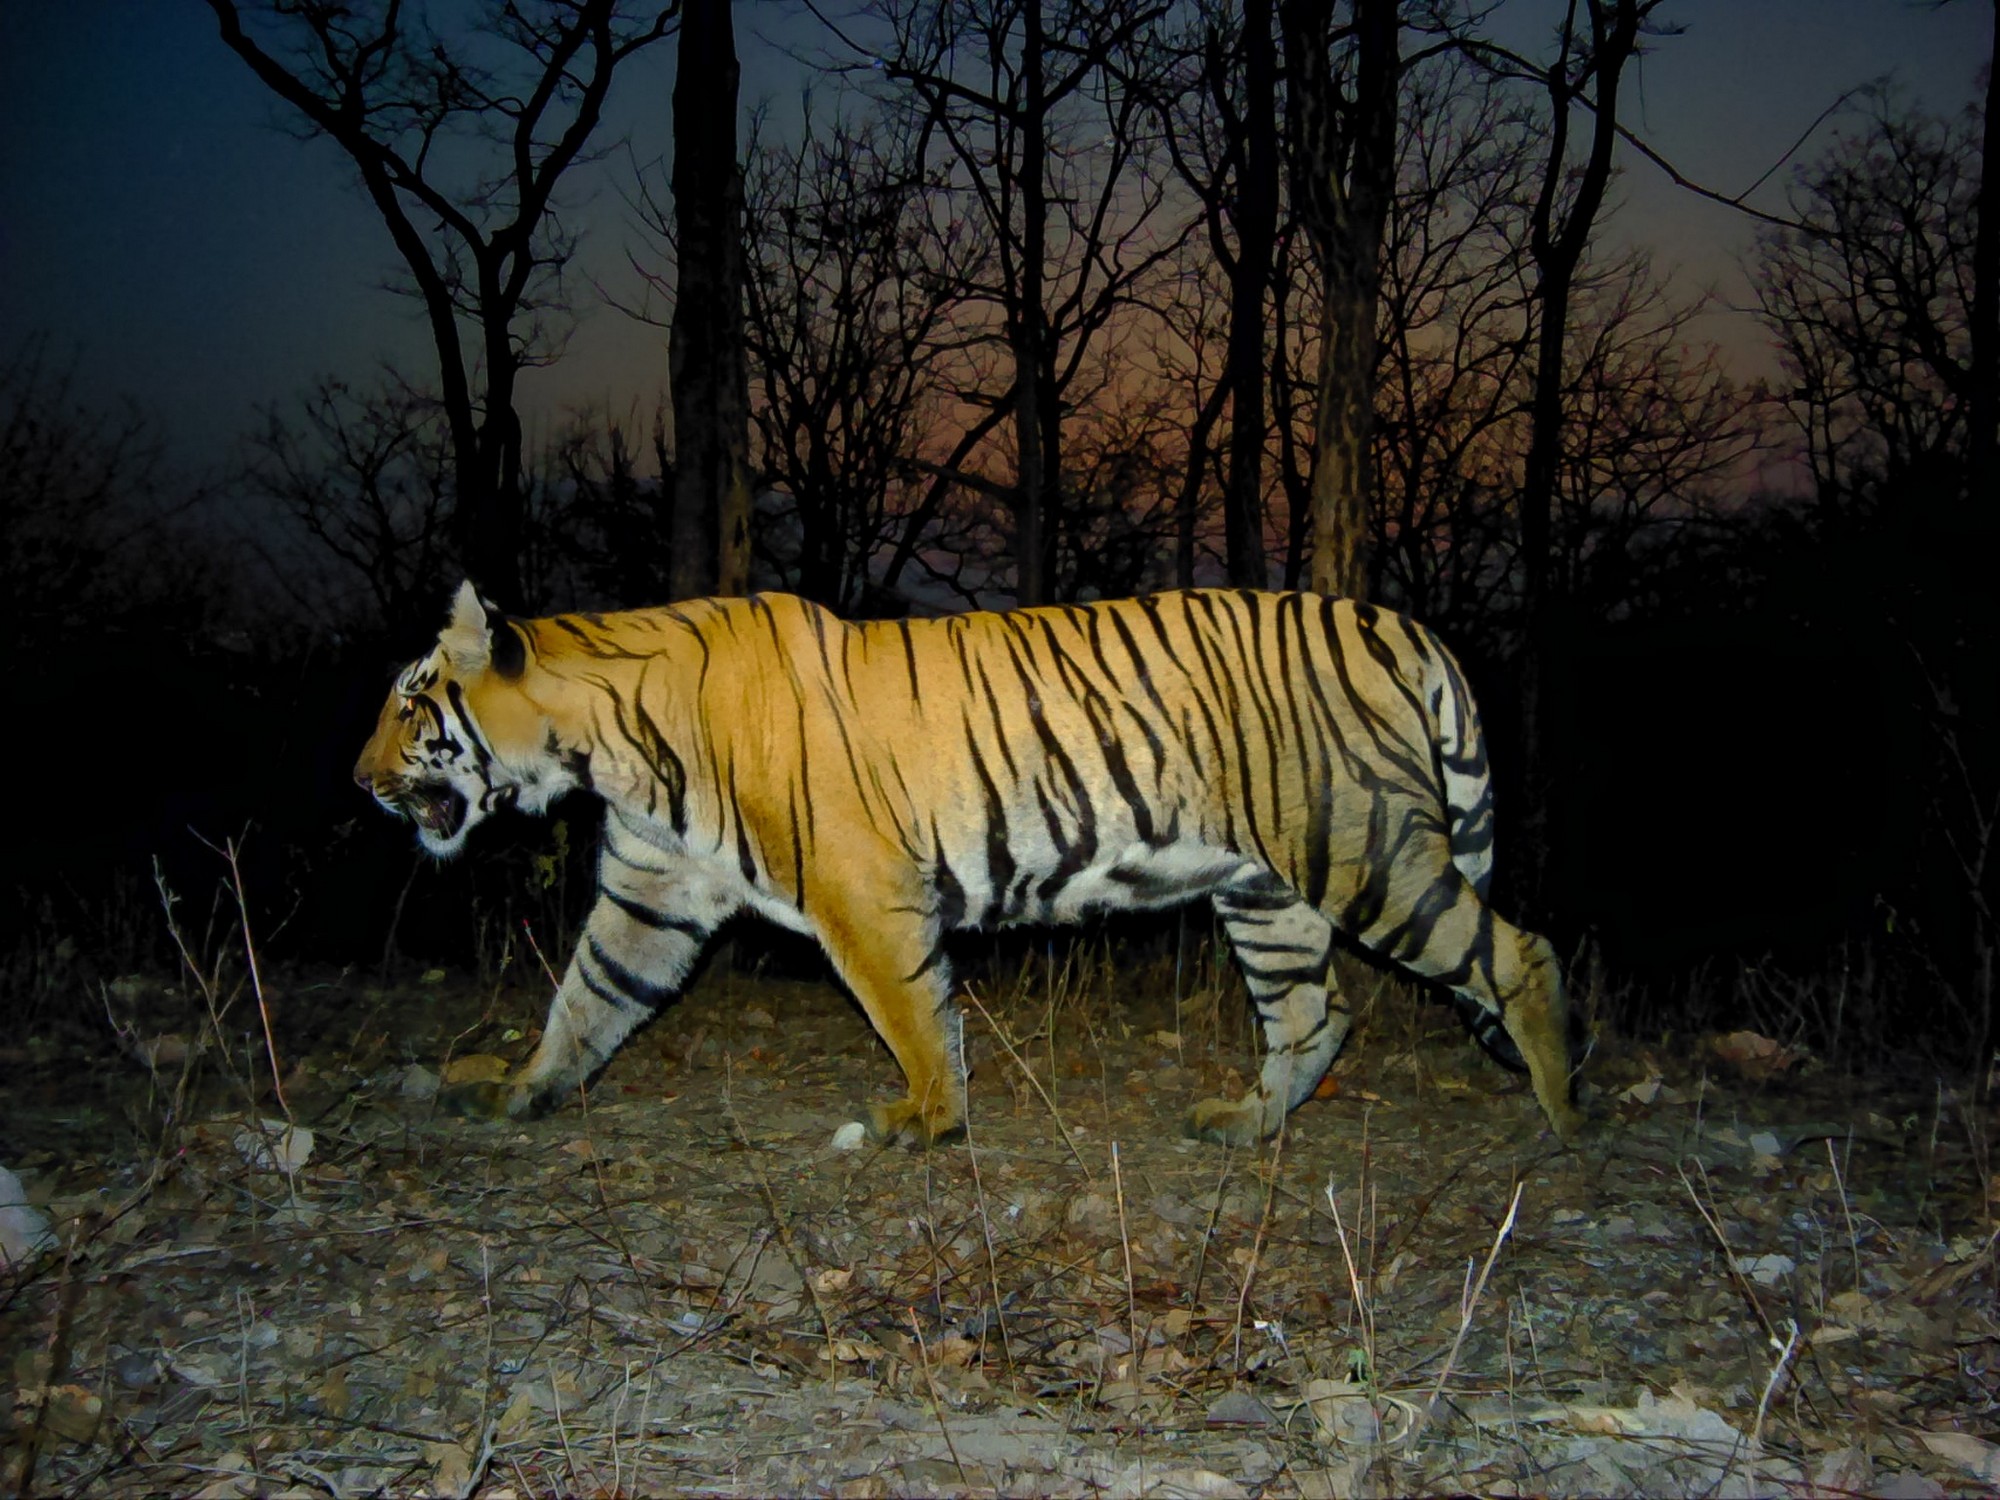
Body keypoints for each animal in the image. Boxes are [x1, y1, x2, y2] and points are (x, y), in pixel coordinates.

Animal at [354, 581, 1583, 1147]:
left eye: (411, 702)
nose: (358, 779)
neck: (604, 746)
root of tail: (1399, 622)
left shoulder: (862, 893)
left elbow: (910, 1010)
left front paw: (927, 1120)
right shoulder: (651, 892)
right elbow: (587, 997)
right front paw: (522, 1089)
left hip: (1363, 849)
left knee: (1519, 951)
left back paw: (1564, 1112)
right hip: (1264, 891)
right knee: (1316, 1012)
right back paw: (1245, 1123)